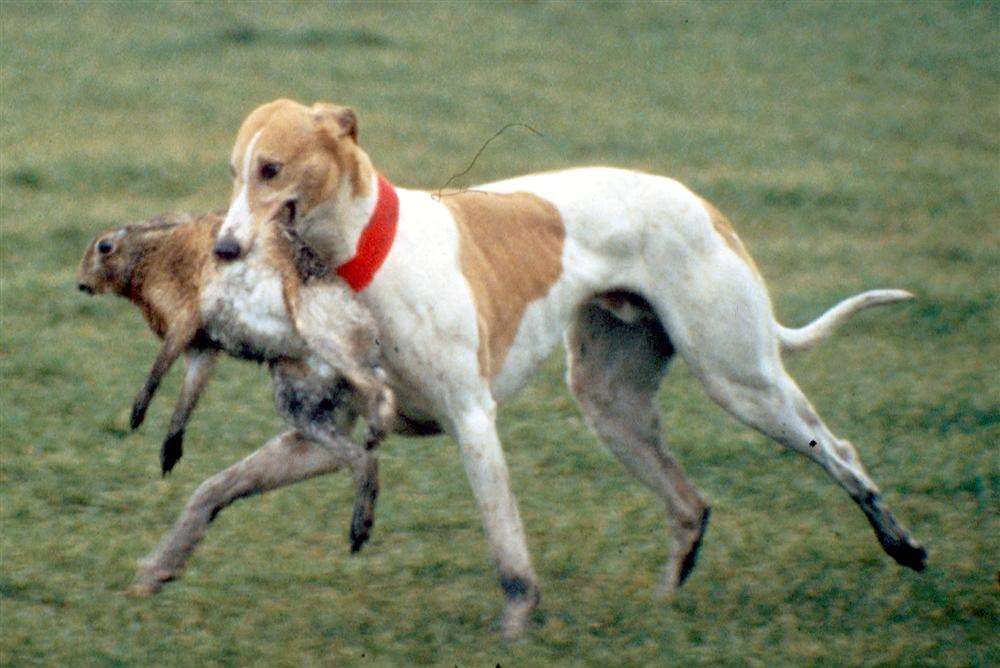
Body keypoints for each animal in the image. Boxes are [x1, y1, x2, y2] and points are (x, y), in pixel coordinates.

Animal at [213, 98, 928, 636]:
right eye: (234, 172)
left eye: (271, 169)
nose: (223, 248)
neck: (365, 253)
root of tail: (702, 204)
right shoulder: (327, 432)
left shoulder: (472, 419)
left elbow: (506, 541)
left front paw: (516, 624)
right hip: (609, 403)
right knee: (691, 505)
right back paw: (665, 605)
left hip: (739, 378)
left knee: (838, 451)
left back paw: (903, 544)